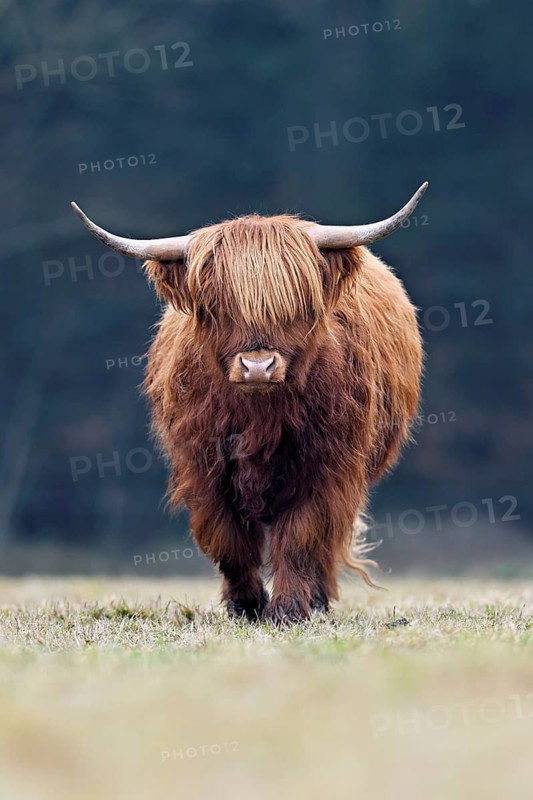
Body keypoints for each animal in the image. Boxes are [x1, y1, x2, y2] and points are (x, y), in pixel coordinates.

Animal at [71, 182, 426, 624]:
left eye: (298, 305)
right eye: (215, 306)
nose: (258, 366)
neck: (259, 415)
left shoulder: (328, 468)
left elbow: (301, 537)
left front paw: (289, 609)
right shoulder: (203, 468)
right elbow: (228, 539)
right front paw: (245, 605)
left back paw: (318, 599)